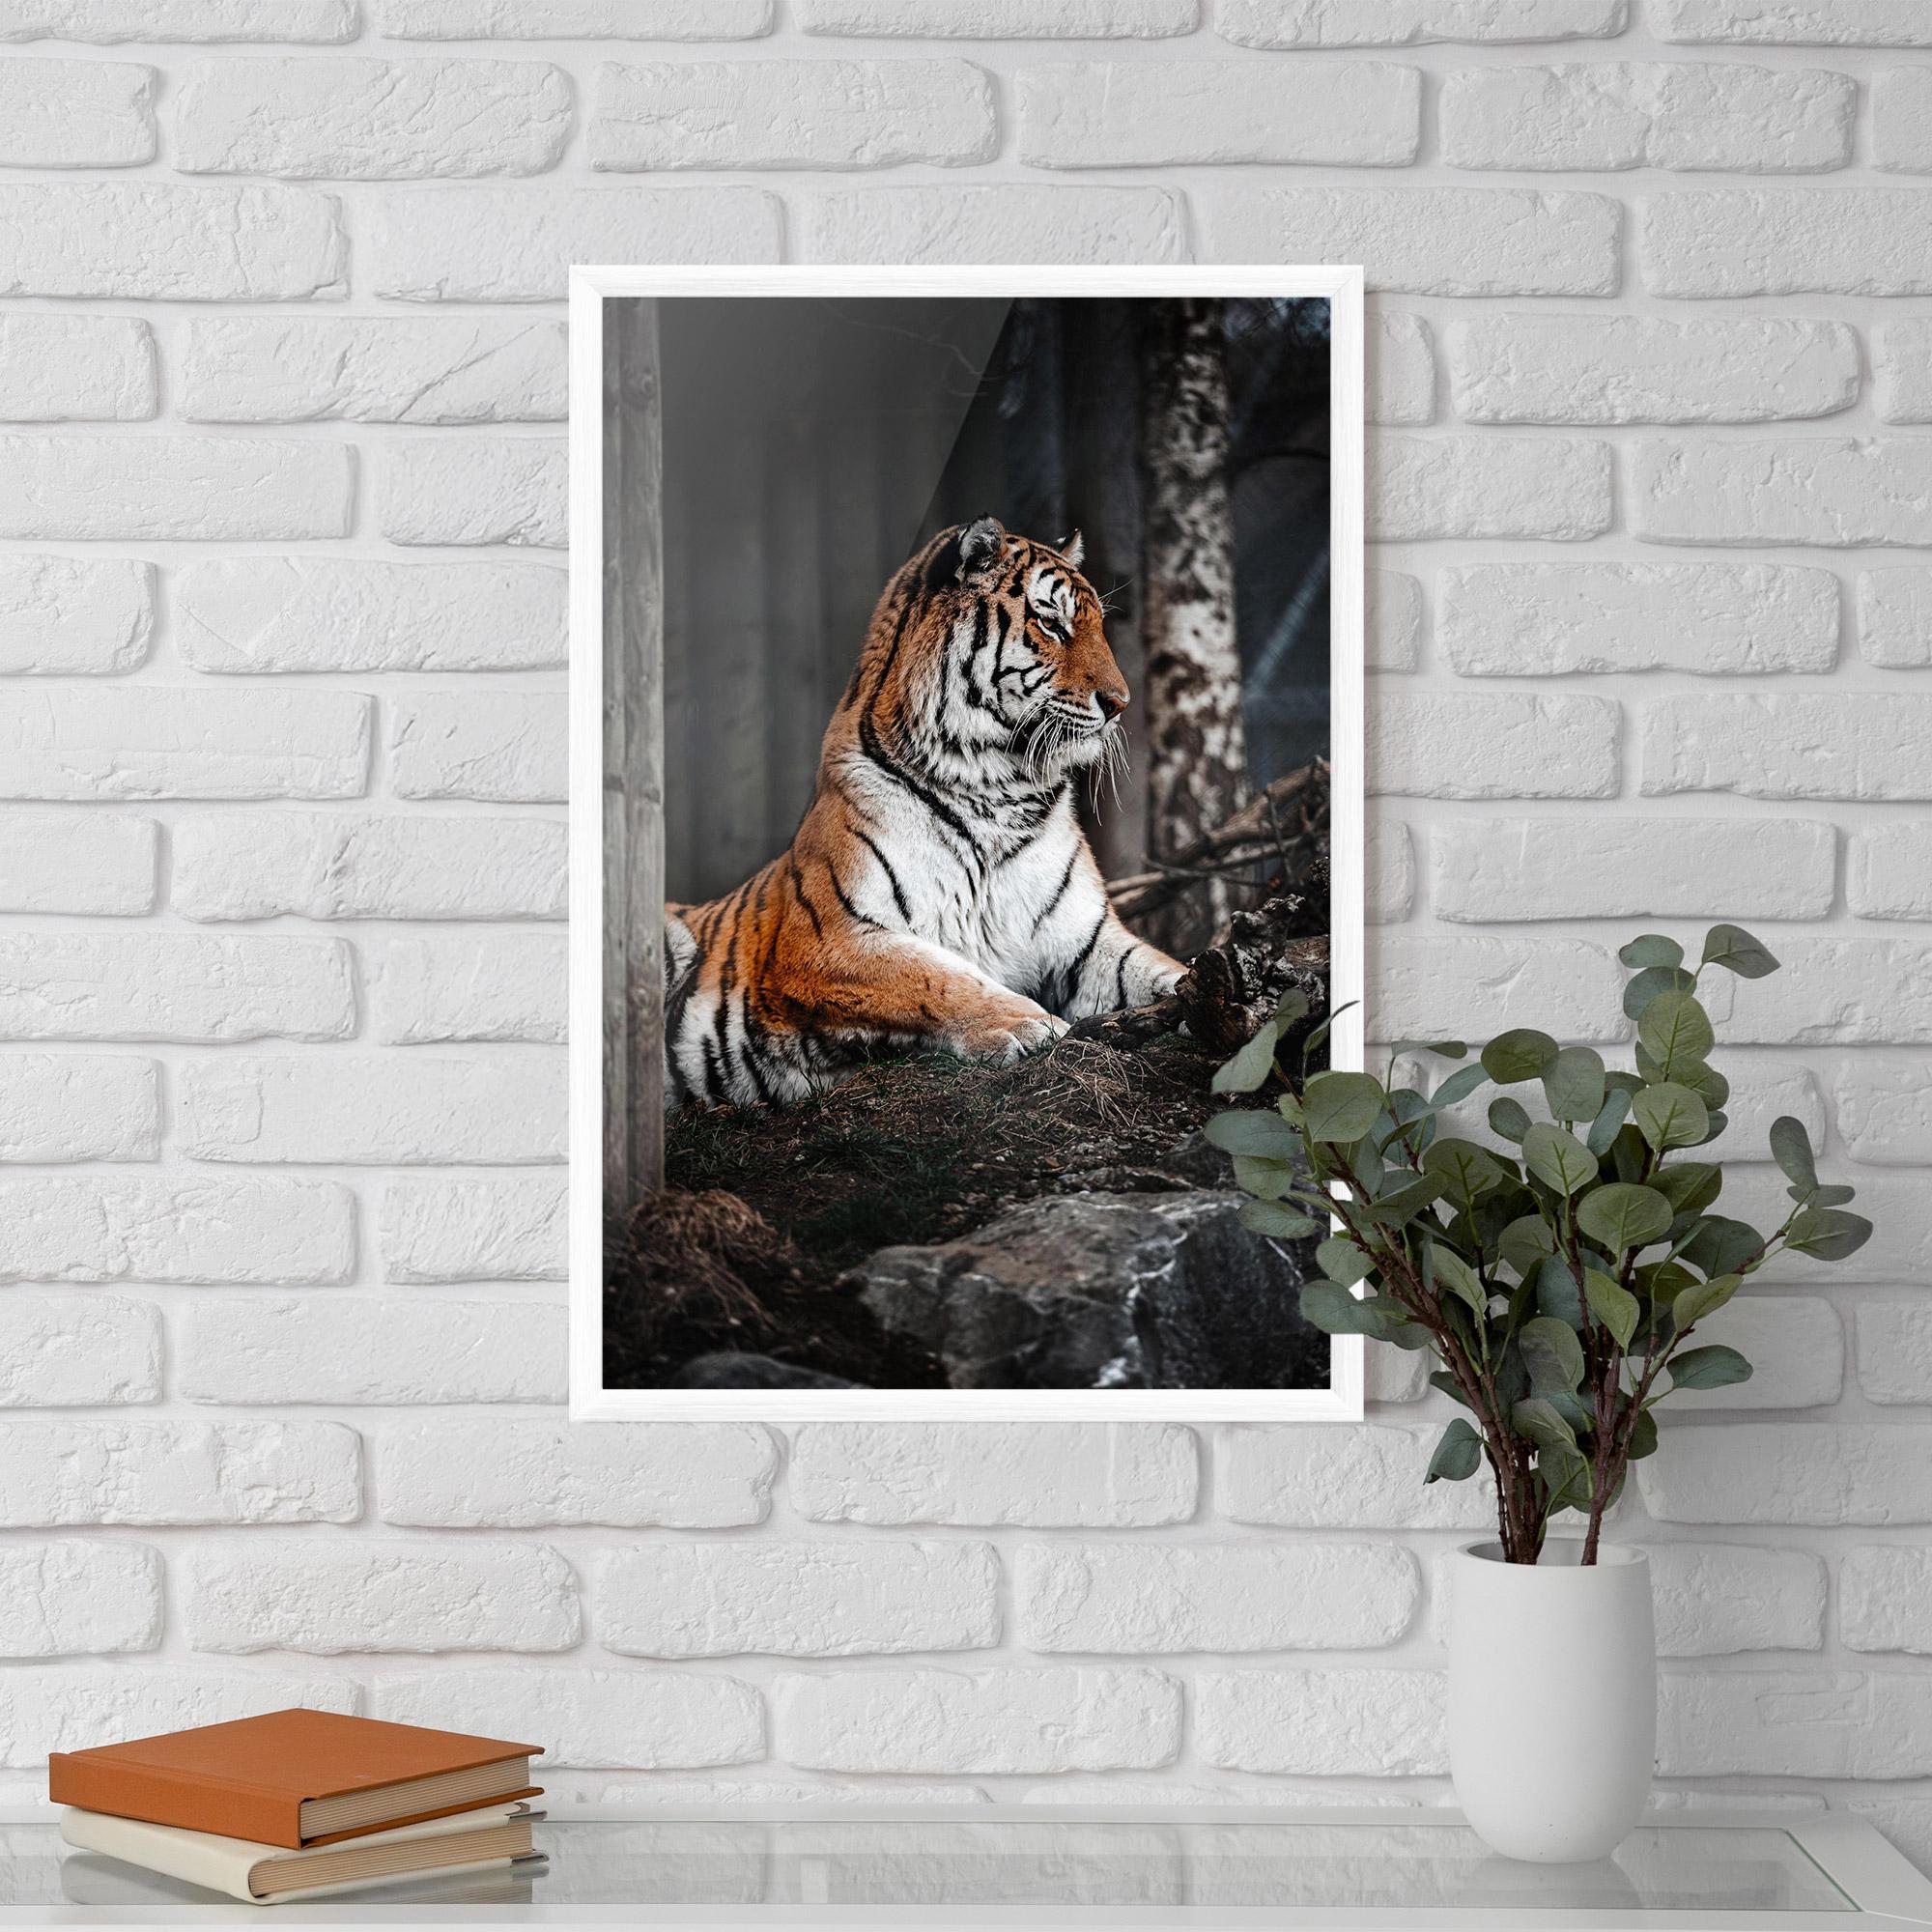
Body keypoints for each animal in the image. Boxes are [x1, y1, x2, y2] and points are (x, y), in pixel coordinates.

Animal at [662, 515, 1186, 1110]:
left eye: (1098, 625)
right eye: (1051, 623)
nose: (1120, 704)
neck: (998, 788)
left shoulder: (1086, 943)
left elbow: (1161, 969)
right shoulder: (825, 939)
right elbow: (936, 977)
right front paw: (1028, 1025)